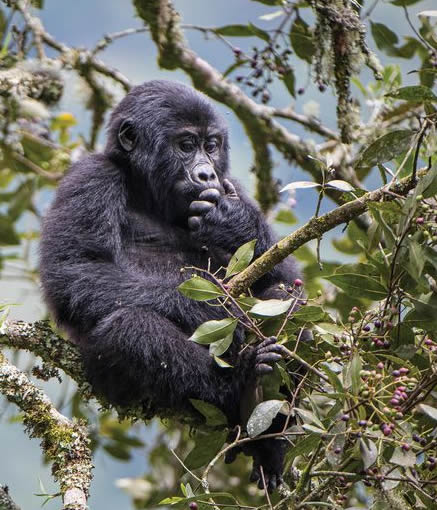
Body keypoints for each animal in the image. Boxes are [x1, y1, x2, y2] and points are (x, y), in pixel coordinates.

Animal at [39, 81, 302, 492]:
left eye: (211, 145)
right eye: (186, 144)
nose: (206, 174)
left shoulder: (233, 187)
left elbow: (282, 274)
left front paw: (235, 223)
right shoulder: (90, 177)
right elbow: (76, 269)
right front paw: (210, 310)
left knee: (285, 301)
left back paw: (270, 437)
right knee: (130, 330)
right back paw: (242, 385)